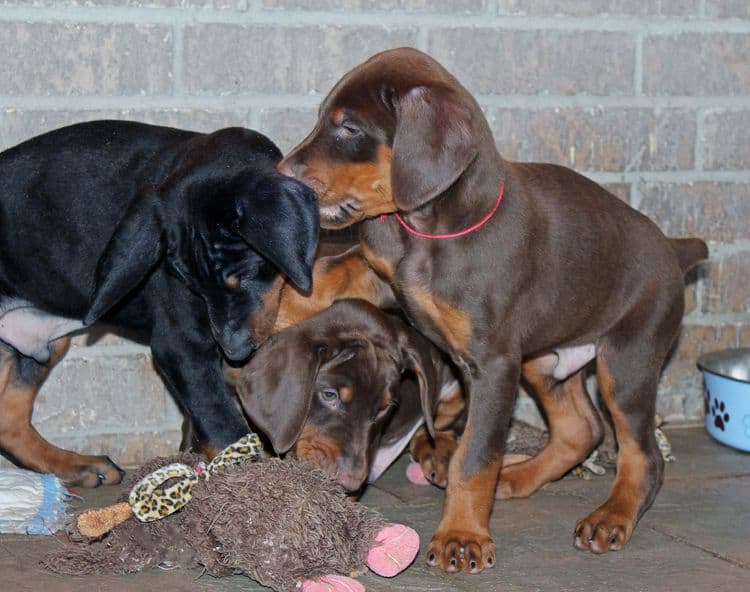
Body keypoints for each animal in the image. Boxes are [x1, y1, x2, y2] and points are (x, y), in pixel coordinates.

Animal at [0, 120, 320, 486]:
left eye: (244, 277)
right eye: (191, 286)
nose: (234, 352)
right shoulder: (182, 347)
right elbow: (223, 425)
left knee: (9, 422)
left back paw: (77, 465)